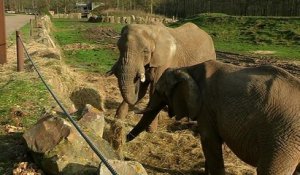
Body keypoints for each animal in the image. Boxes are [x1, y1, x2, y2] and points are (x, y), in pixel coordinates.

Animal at [126, 59, 300, 174]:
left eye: (159, 92)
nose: (123, 139)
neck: (188, 69)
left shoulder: (206, 106)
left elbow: (209, 141)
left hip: (282, 137)